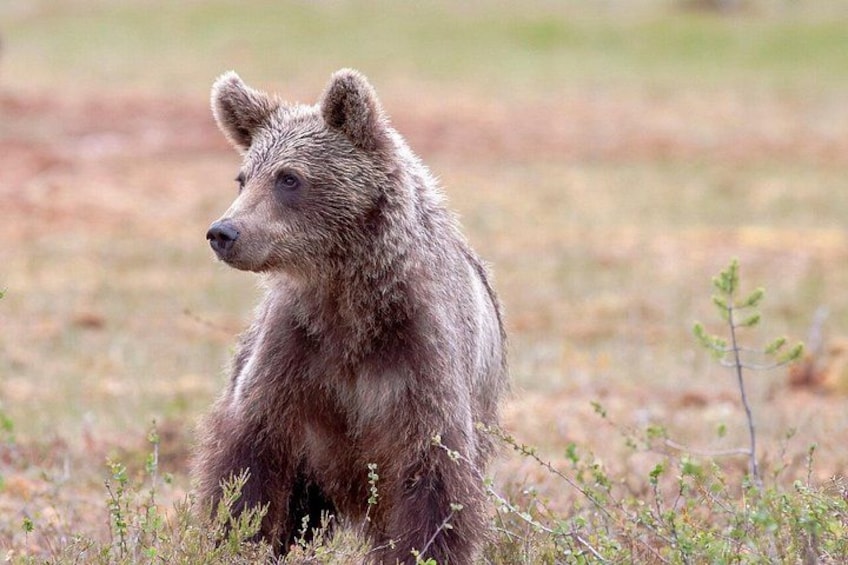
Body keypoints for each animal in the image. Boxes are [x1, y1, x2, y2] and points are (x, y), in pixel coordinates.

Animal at [194, 68, 508, 564]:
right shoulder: (294, 354)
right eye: (243, 177)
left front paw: (422, 550)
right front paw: (236, 537)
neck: (350, 302)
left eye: (288, 177)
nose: (224, 232)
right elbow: (246, 469)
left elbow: (434, 486)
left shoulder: (420, 358)